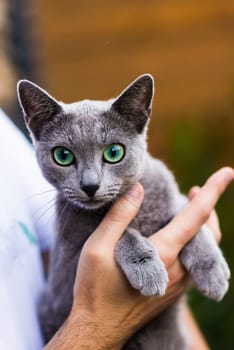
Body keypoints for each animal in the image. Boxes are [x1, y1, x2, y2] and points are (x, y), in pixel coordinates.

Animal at [17, 75, 229, 348]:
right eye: (63, 156)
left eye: (114, 152)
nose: (90, 185)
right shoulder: (67, 267)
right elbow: (121, 233)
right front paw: (148, 269)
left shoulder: (174, 197)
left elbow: (189, 217)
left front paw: (214, 272)